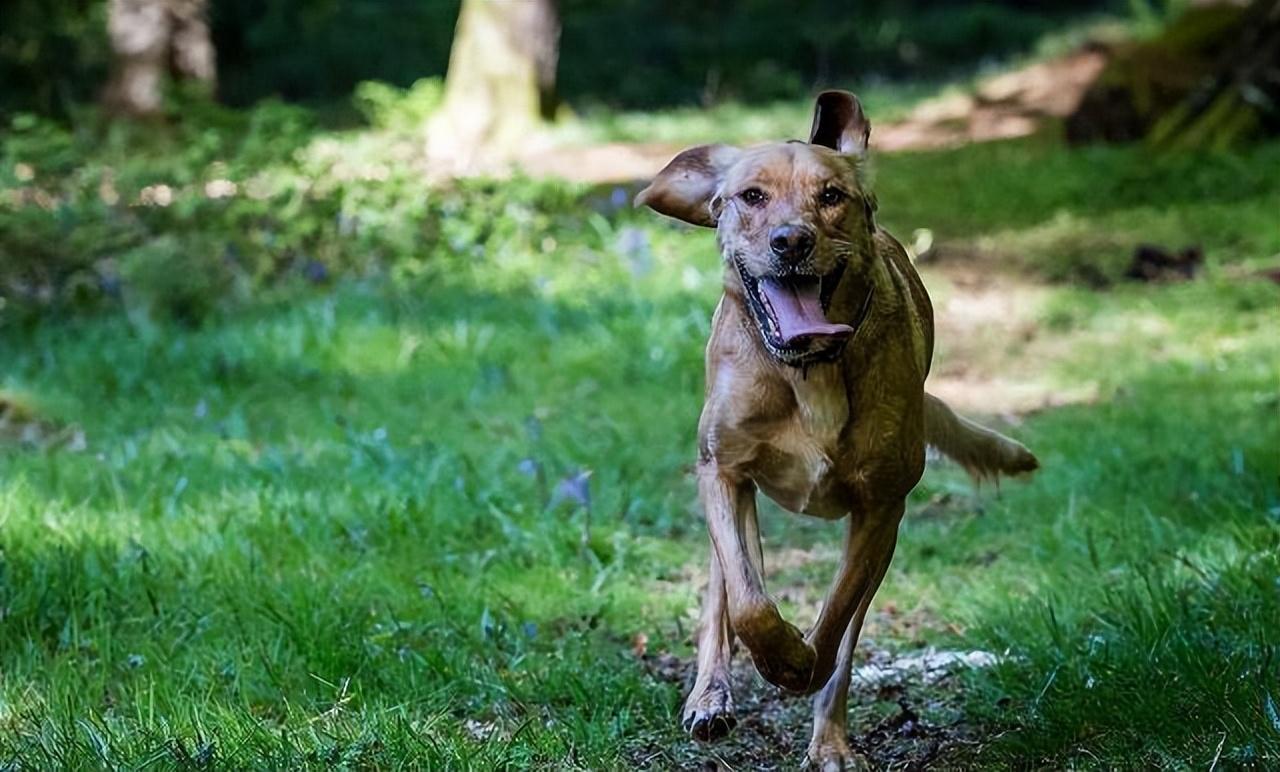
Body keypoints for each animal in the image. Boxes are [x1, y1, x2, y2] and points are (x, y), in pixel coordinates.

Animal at [634, 90, 1034, 768]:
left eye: (831, 196)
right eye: (752, 196)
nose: (791, 241)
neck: (809, 368)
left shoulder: (881, 509)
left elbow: (840, 617)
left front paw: (803, 664)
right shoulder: (726, 472)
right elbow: (748, 601)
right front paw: (773, 657)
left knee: (844, 637)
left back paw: (829, 736)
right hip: (722, 479)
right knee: (723, 588)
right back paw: (711, 695)